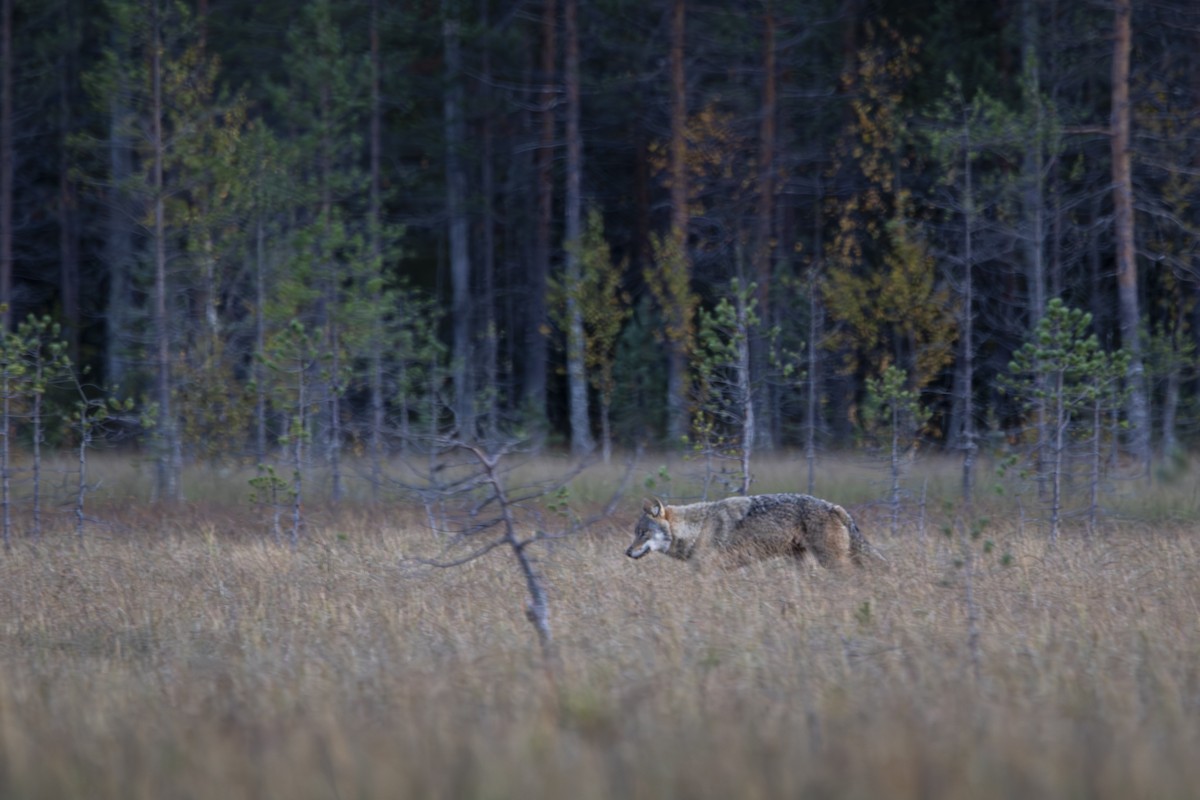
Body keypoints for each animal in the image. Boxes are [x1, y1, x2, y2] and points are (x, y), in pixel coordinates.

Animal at [625, 493, 885, 568]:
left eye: (643, 533)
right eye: (636, 532)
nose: (627, 552)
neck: (696, 529)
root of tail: (835, 507)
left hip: (831, 561)